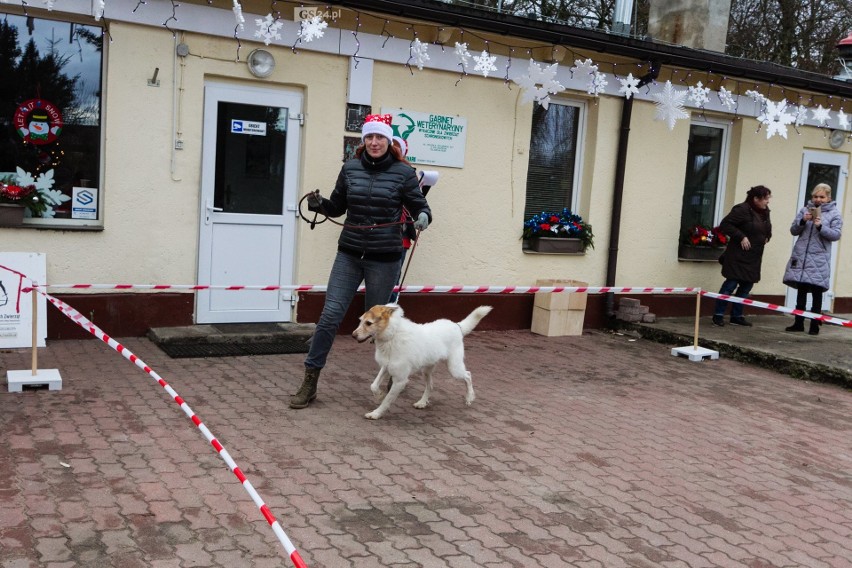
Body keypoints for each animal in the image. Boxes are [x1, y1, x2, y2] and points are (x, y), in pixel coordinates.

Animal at [352, 304, 492, 420]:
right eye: (361, 321)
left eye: (368, 323)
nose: (353, 336)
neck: (392, 335)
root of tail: (456, 325)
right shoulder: (386, 367)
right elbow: (373, 385)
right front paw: (379, 395)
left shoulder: (400, 380)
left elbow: (386, 401)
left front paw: (376, 413)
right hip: (426, 370)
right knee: (430, 385)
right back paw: (422, 403)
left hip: (454, 368)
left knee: (468, 375)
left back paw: (469, 397)